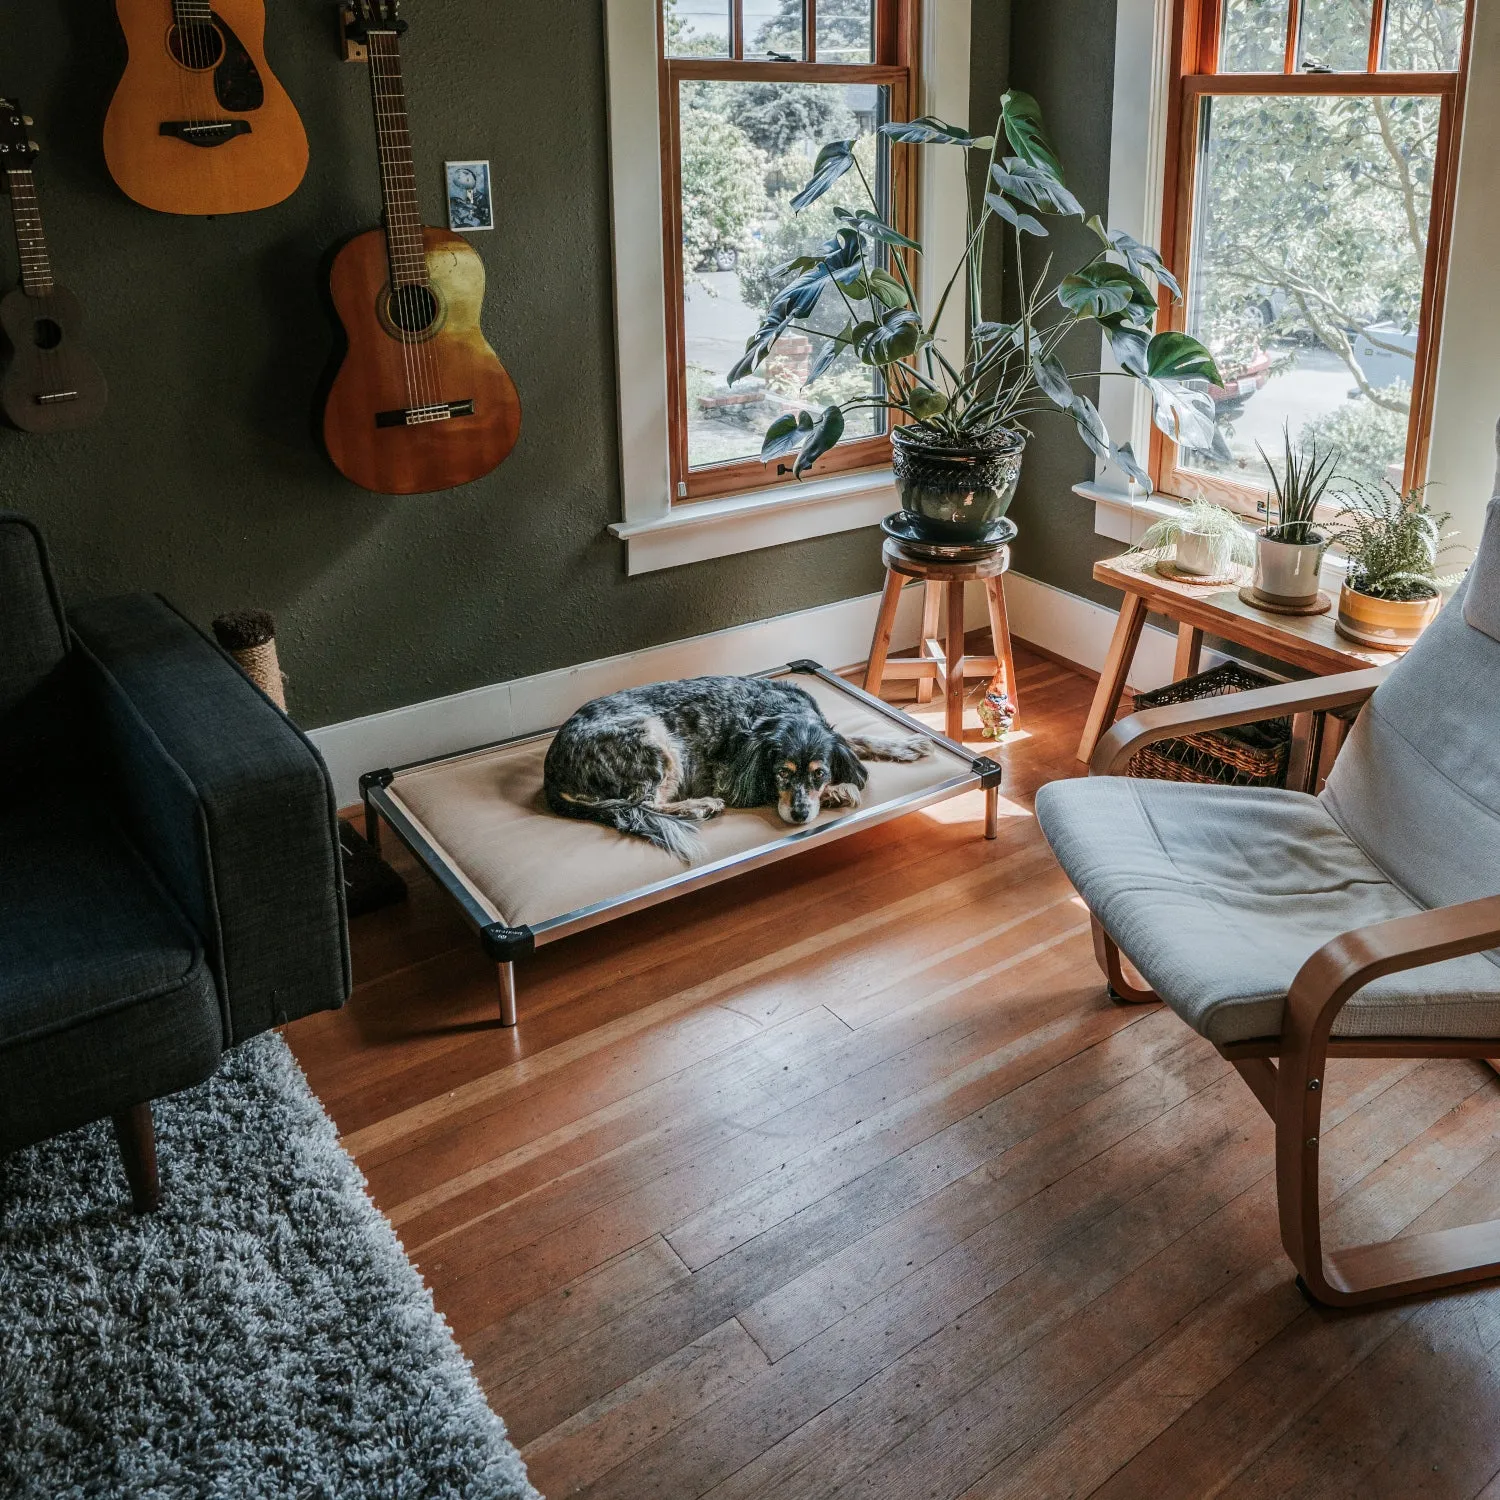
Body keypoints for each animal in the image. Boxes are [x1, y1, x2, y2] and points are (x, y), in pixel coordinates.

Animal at [546, 675, 930, 864]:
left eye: (818, 773)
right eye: (782, 773)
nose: (799, 815)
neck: (776, 713)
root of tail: (551, 771)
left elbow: (855, 738)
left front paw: (906, 745)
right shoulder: (729, 778)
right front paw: (839, 791)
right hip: (654, 739)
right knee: (643, 805)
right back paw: (698, 806)